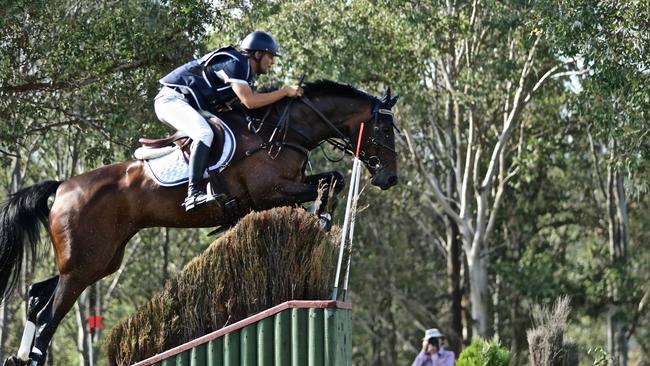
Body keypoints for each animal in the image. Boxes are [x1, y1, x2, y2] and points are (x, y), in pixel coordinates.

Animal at [0, 79, 398, 364]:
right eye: (383, 130)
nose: (389, 178)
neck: (280, 132)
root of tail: (63, 186)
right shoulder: (271, 192)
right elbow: (331, 181)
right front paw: (323, 216)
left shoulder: (283, 192)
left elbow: (332, 180)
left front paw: (322, 215)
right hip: (85, 264)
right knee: (49, 313)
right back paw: (31, 358)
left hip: (97, 260)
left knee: (37, 295)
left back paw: (19, 356)